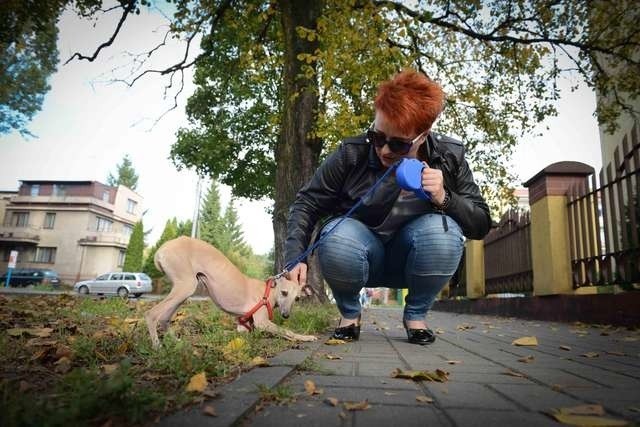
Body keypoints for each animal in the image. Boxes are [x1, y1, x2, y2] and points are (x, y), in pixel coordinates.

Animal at [144, 236, 316, 350]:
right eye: (284, 293)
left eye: (297, 299)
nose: (286, 315)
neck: (267, 292)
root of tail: (162, 248)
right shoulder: (262, 322)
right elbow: (287, 331)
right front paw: (306, 337)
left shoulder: (243, 327)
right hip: (186, 287)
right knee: (152, 314)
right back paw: (157, 346)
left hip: (183, 292)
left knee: (164, 318)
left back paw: (177, 343)